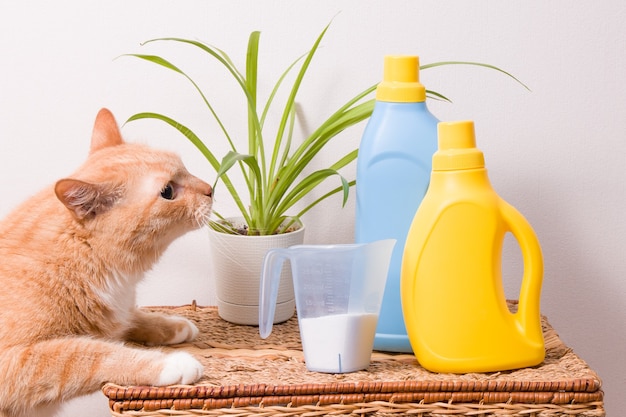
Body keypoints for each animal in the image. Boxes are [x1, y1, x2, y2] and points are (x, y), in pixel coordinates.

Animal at [0, 108, 212, 416]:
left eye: (185, 168)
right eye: (168, 191)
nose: (211, 189)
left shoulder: (118, 311)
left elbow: (130, 318)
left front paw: (173, 326)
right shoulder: (13, 362)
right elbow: (91, 352)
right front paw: (169, 363)